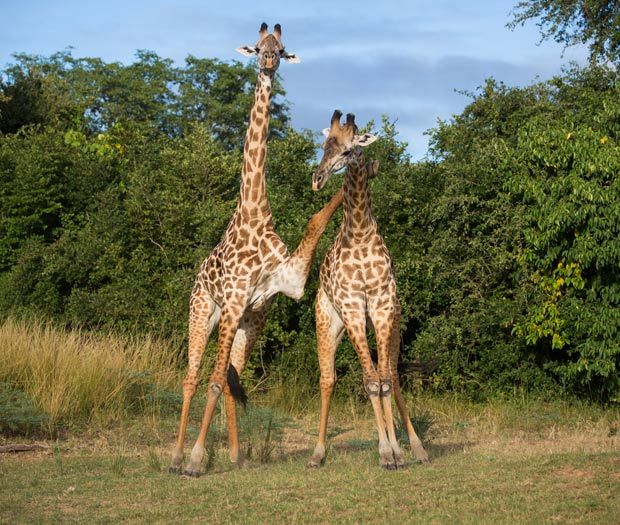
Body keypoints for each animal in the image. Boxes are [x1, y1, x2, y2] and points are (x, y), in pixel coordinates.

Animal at [168, 23, 344, 474]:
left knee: (229, 377)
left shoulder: (266, 300)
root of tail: (197, 276)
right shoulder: (231, 302)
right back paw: (176, 457)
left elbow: (225, 381)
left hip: (246, 322)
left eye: (281, 49)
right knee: (192, 376)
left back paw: (234, 455)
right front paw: (195, 459)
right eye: (257, 45)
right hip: (203, 310)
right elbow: (212, 380)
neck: (254, 212)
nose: (267, 63)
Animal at [308, 109, 428, 466]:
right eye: (324, 146)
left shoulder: (382, 307)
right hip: (328, 322)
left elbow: (385, 381)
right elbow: (371, 381)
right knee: (328, 379)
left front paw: (399, 450)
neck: (360, 232)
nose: (317, 179)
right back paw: (317, 453)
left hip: (390, 322)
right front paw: (386, 453)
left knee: (394, 376)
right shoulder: (351, 309)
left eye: (349, 150)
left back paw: (416, 447)